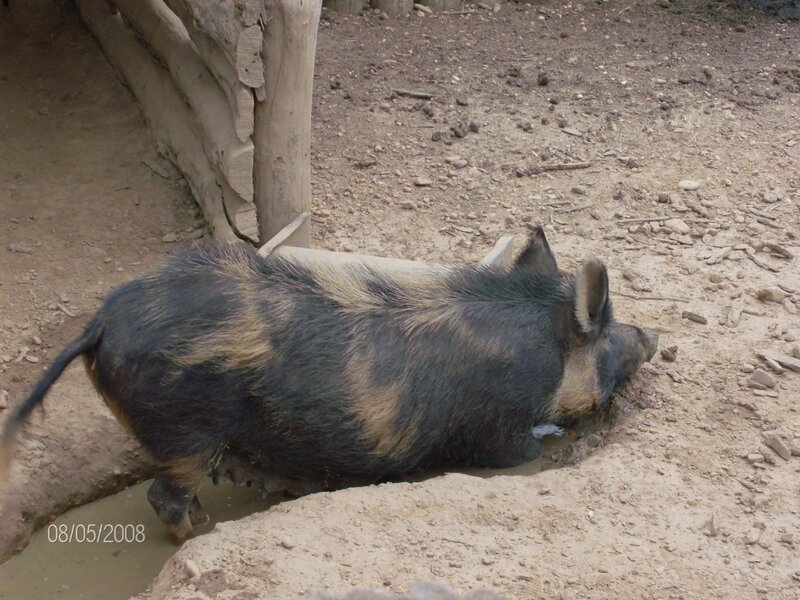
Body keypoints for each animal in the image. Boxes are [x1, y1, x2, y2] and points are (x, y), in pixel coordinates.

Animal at [0, 227, 657, 542]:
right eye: (607, 331)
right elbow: (520, 454)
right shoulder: (499, 431)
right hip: (180, 429)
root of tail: (100, 323)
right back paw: (203, 532)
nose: (652, 335)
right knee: (166, 497)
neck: (537, 350)